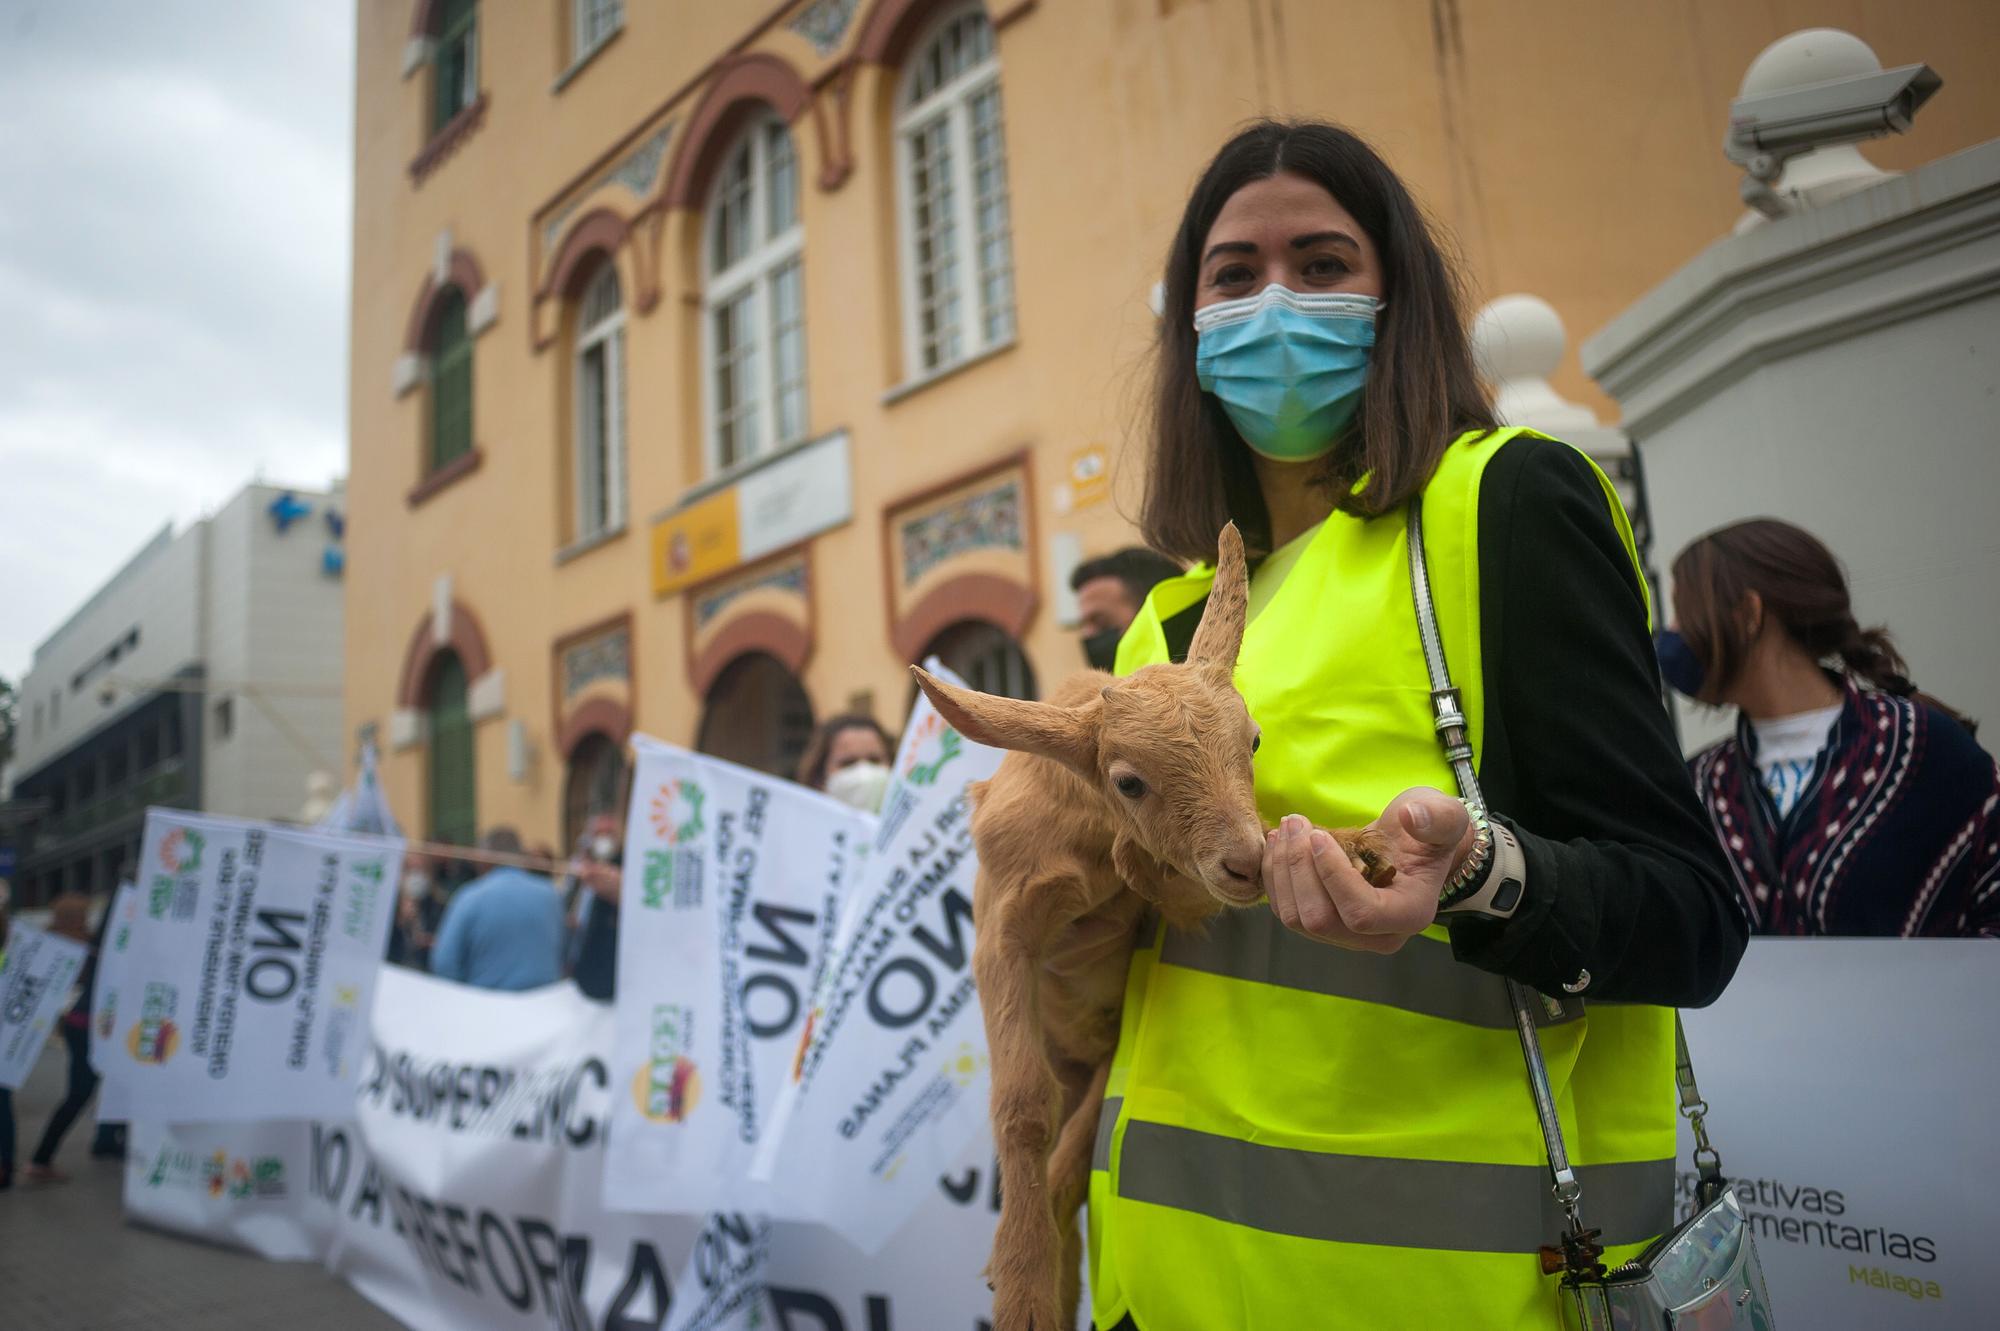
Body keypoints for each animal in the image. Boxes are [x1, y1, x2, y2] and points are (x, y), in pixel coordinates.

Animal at [912, 519, 1392, 1327]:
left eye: (1253, 741)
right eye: (1129, 781)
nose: (1247, 863)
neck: (1087, 834)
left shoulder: (1169, 901)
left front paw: (1357, 845)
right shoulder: (1003, 928)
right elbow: (1022, 1105)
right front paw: (1021, 1289)